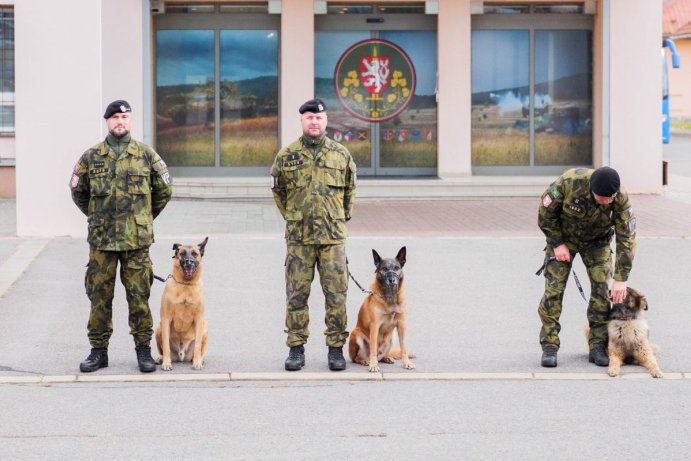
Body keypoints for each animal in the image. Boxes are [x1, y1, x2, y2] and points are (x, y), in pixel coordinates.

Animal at [156, 237, 208, 370]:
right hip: (158, 328)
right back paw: (161, 358)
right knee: (163, 350)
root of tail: (181, 355)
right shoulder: (166, 319)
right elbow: (166, 346)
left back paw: (198, 359)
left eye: (195, 254)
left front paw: (197, 362)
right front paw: (166, 363)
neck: (186, 285)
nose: (189, 262)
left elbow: (197, 345)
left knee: (199, 350)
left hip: (205, 326)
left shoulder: (199, 319)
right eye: (182, 253)